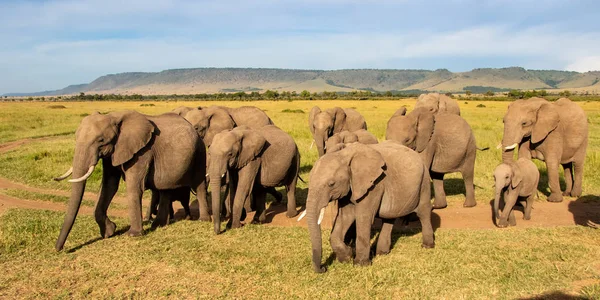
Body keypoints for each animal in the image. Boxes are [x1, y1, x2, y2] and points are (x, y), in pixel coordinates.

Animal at [54, 110, 209, 251]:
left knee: (199, 185)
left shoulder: (142, 152)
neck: (114, 116)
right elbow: (109, 186)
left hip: (200, 152)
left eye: (101, 140)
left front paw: (133, 235)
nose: (59, 249)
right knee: (165, 189)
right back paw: (158, 225)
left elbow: (133, 186)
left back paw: (203, 220)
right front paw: (109, 232)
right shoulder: (114, 152)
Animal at [302, 142, 434, 274]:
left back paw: (427, 246)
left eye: (331, 184)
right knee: (389, 217)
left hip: (424, 181)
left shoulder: (374, 185)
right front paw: (347, 257)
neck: (345, 155)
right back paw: (382, 253)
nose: (323, 268)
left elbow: (363, 217)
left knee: (423, 212)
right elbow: (345, 216)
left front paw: (360, 264)